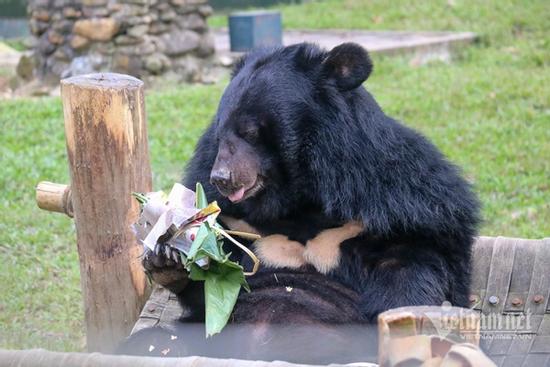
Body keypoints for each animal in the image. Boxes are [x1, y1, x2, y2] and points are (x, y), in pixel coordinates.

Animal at [119, 43, 478, 366]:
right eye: (220, 133)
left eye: (250, 132)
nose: (221, 178)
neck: (297, 199)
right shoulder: (236, 222)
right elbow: (212, 291)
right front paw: (167, 258)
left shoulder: (401, 203)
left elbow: (415, 264)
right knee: (153, 342)